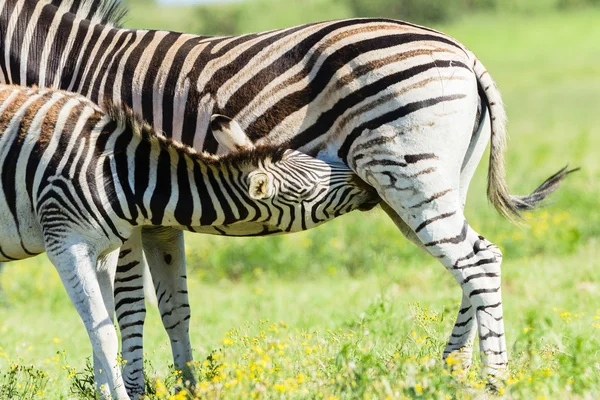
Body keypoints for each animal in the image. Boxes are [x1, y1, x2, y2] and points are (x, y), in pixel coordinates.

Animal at [0, 83, 378, 398]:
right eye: (308, 191)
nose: (367, 183)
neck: (117, 174)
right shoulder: (66, 245)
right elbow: (104, 334)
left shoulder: (104, 250)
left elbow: (101, 329)